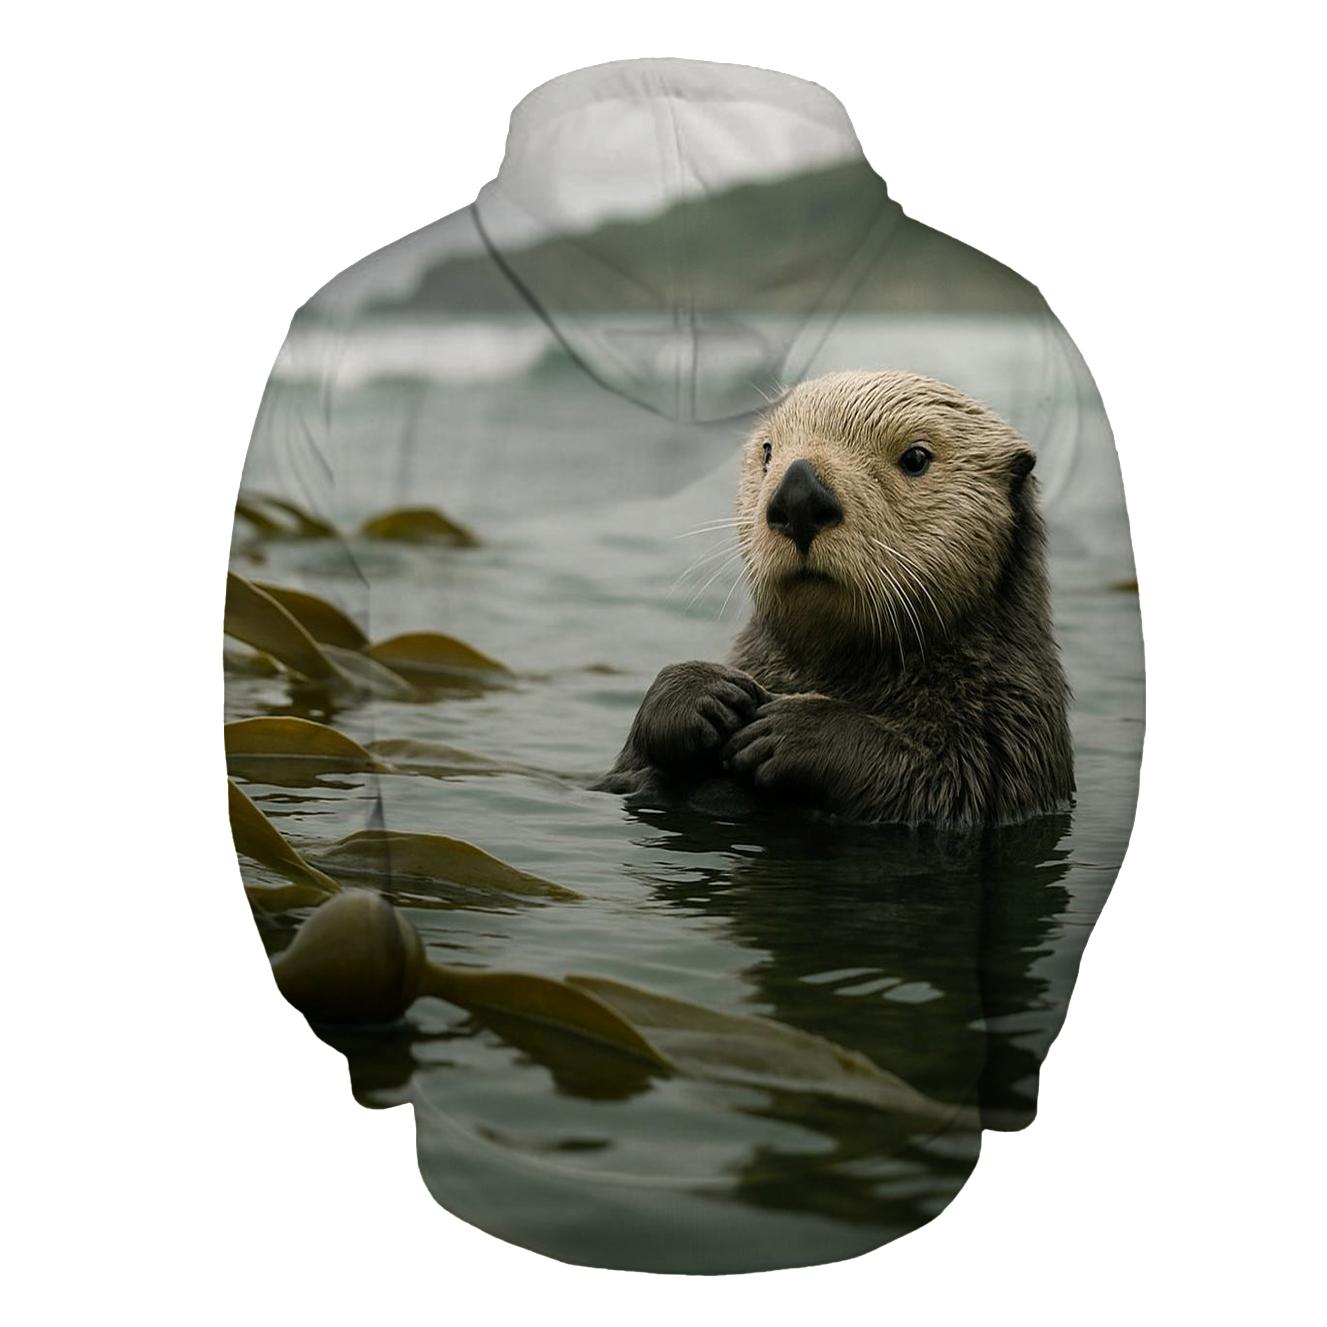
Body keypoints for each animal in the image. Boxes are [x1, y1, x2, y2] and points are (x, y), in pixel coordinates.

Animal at [599, 370, 1074, 827]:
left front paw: (794, 729)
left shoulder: (1006, 734)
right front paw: (698, 691)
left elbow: (941, 783)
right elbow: (626, 775)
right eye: (767, 451)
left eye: (916, 458)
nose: (799, 495)